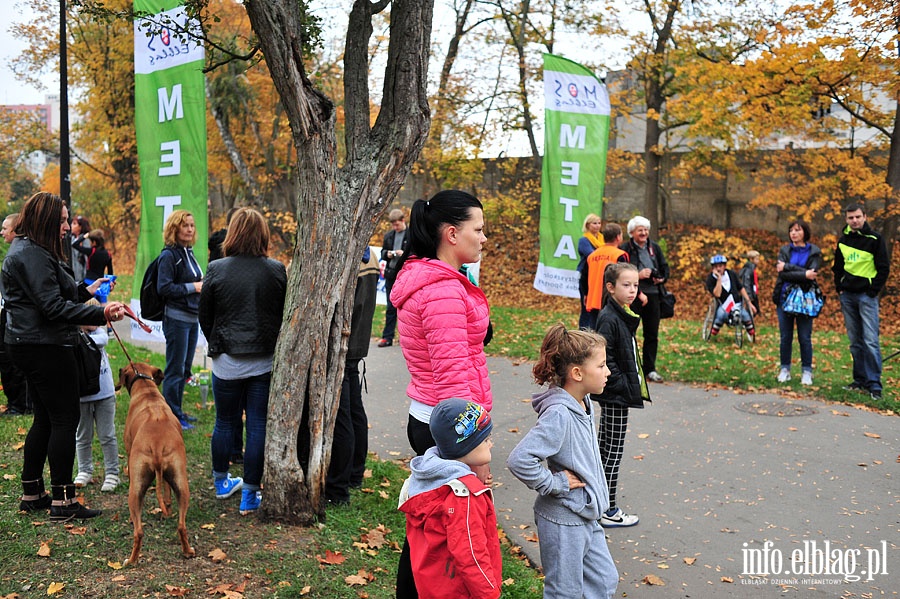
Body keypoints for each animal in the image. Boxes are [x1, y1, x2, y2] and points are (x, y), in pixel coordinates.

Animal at [118, 364, 196, 564]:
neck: (147, 390)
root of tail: (157, 445)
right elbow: (167, 493)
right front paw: (167, 507)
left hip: (135, 487)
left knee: (138, 531)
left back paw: (131, 560)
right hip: (181, 482)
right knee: (181, 526)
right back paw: (187, 551)